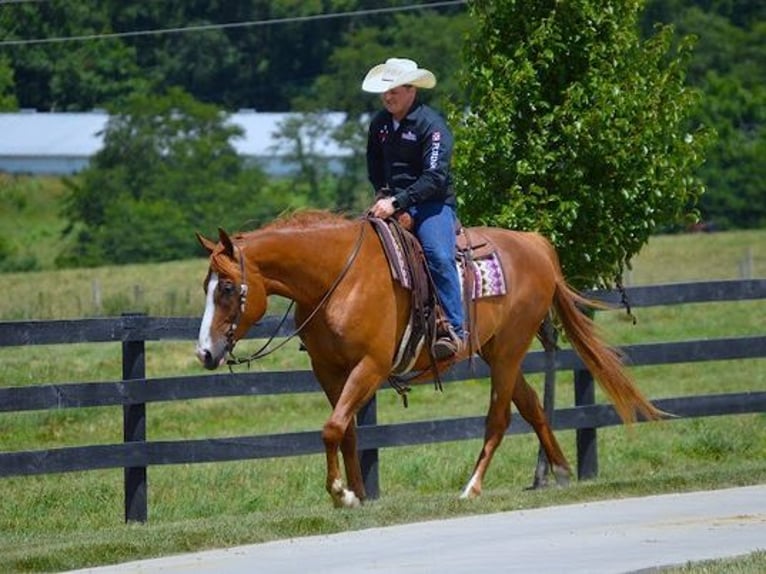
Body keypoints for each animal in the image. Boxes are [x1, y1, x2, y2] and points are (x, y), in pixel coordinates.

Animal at [195, 212, 664, 508]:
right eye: (206, 286)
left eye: (226, 288)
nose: (205, 352)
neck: (338, 278)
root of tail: (535, 244)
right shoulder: (328, 371)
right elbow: (345, 431)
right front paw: (359, 495)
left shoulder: (370, 366)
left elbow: (332, 428)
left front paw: (340, 493)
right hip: (496, 351)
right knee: (531, 405)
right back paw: (562, 472)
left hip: (509, 350)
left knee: (499, 418)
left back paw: (472, 488)